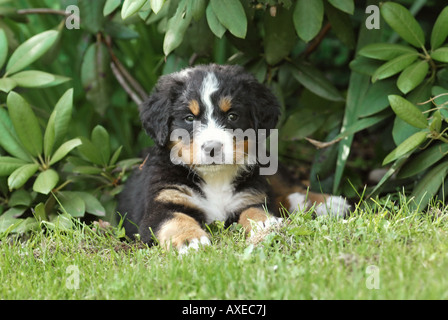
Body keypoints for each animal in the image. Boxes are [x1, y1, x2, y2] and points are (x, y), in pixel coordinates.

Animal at [116, 63, 350, 252]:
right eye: (189, 118)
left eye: (232, 116)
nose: (212, 148)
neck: (215, 178)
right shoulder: (161, 204)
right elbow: (175, 219)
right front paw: (190, 241)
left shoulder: (250, 196)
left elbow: (255, 211)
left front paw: (265, 225)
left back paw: (329, 203)